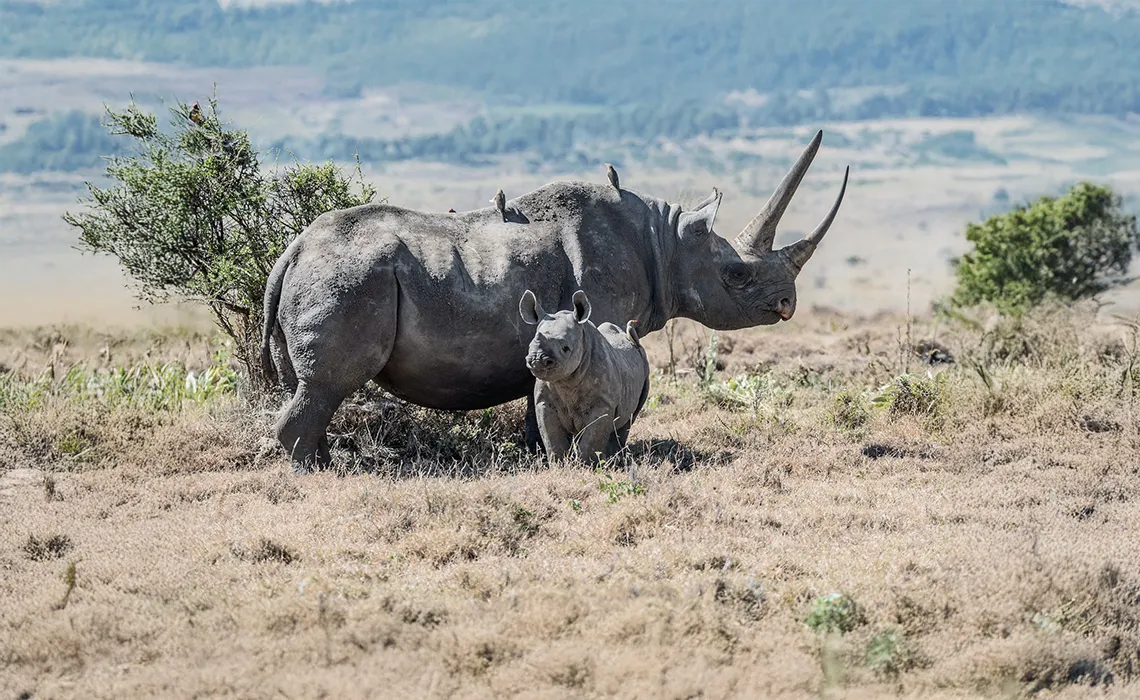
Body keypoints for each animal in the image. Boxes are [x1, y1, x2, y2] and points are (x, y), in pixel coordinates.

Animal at [520, 289, 650, 461]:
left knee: (629, 419)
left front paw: (585, 464)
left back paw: (614, 458)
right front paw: (559, 463)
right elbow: (551, 437)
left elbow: (592, 439)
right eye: (529, 346)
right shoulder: (544, 402)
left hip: (644, 366)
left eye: (566, 348)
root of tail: (631, 340)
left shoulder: (603, 403)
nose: (537, 360)